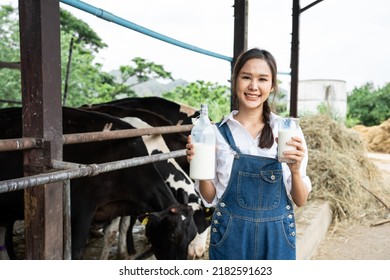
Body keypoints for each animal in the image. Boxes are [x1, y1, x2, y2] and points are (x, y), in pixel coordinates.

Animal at [0, 106, 197, 260]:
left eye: (192, 236)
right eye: (173, 236)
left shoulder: (117, 206)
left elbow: (113, 232)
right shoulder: (81, 209)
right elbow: (76, 251)